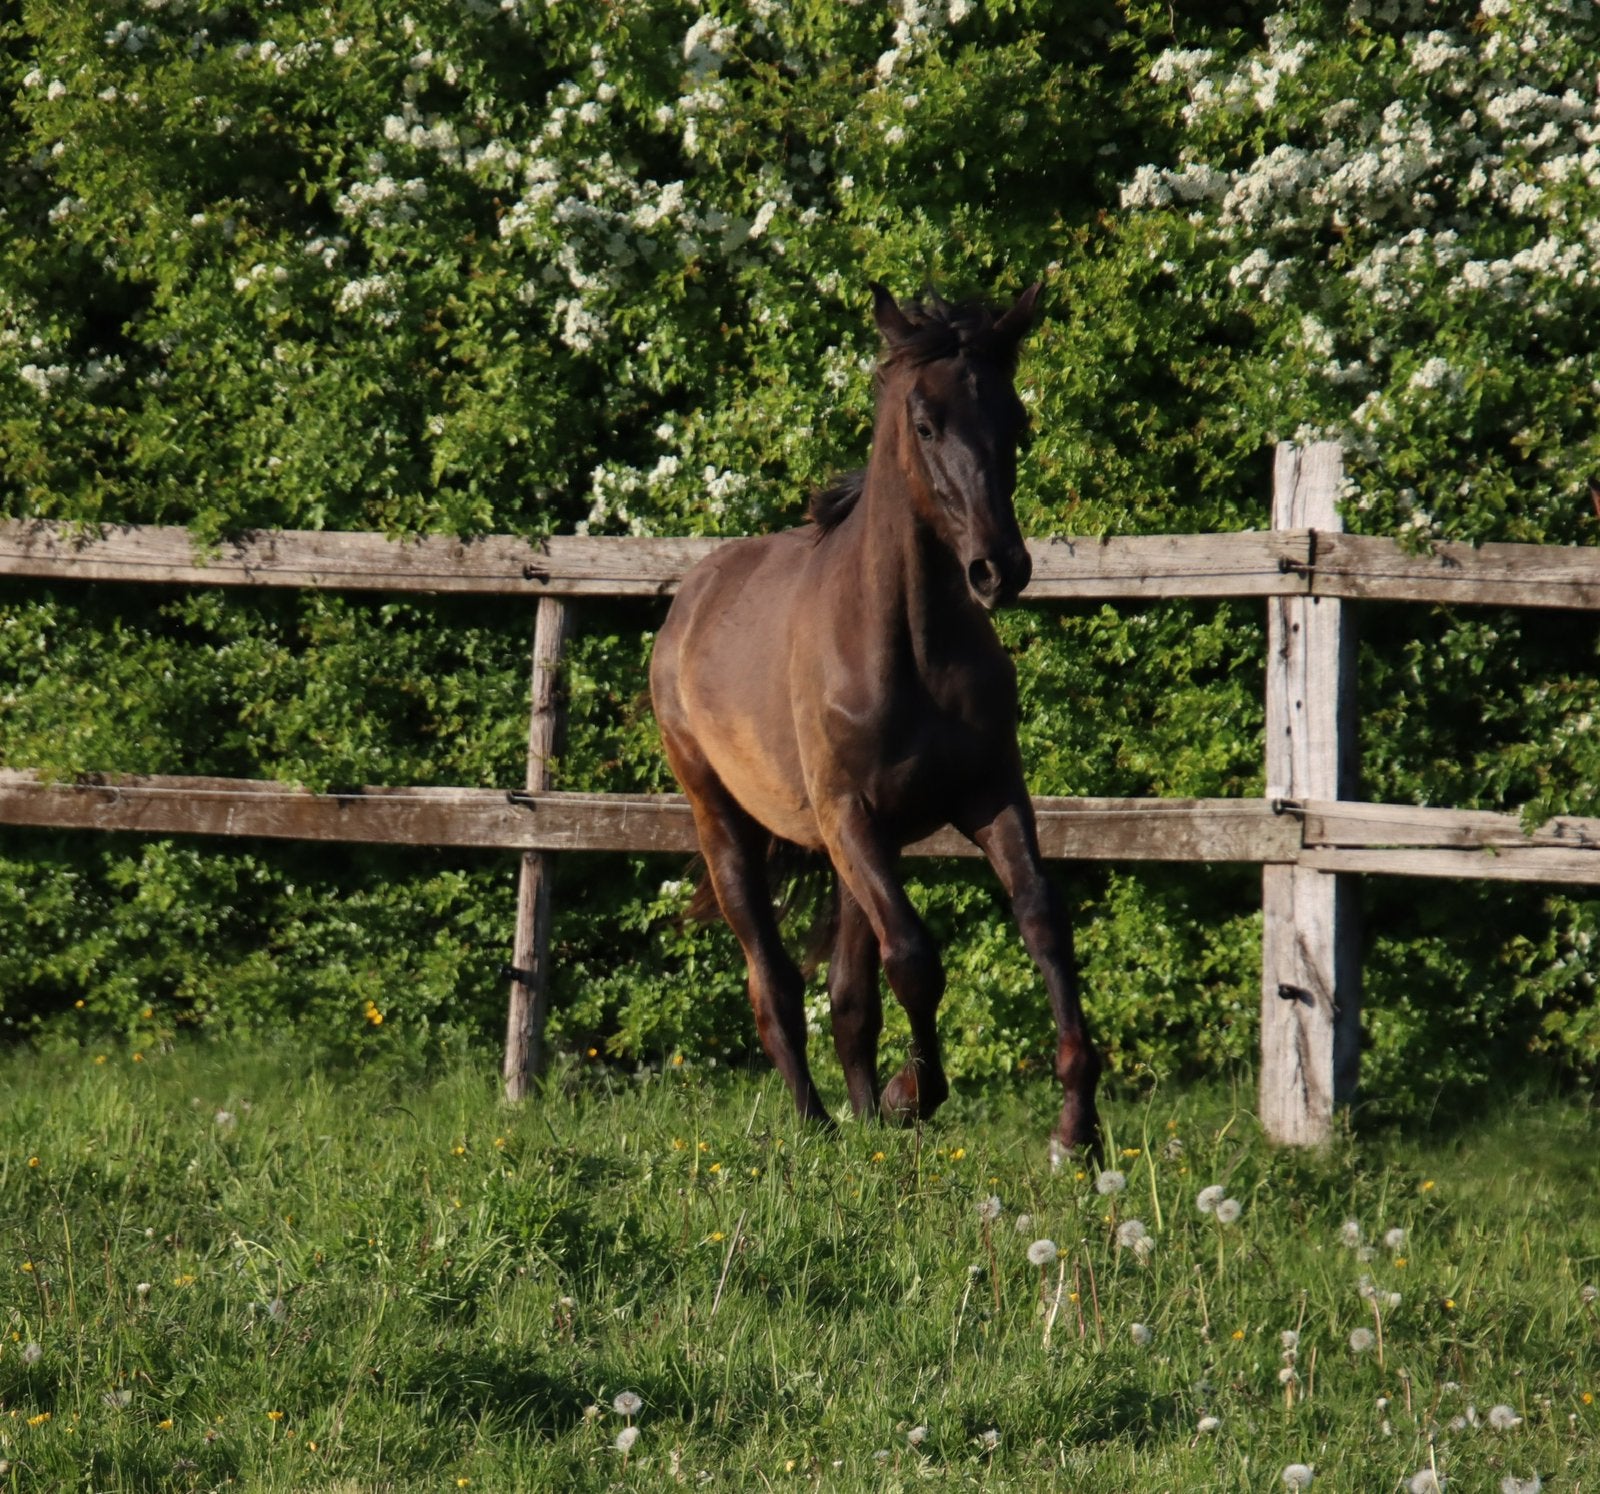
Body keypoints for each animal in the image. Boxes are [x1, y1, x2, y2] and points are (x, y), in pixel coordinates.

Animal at [649, 281, 1101, 1160]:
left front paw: (1077, 1128)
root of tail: (691, 600)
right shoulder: (849, 814)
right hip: (727, 824)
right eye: (925, 424)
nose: (1000, 569)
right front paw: (911, 1095)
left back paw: (858, 1117)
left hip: (855, 850)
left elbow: (1042, 921)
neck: (908, 647)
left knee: (848, 989)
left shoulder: (989, 796)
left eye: (1015, 420)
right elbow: (917, 960)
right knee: (775, 981)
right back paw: (818, 1121)